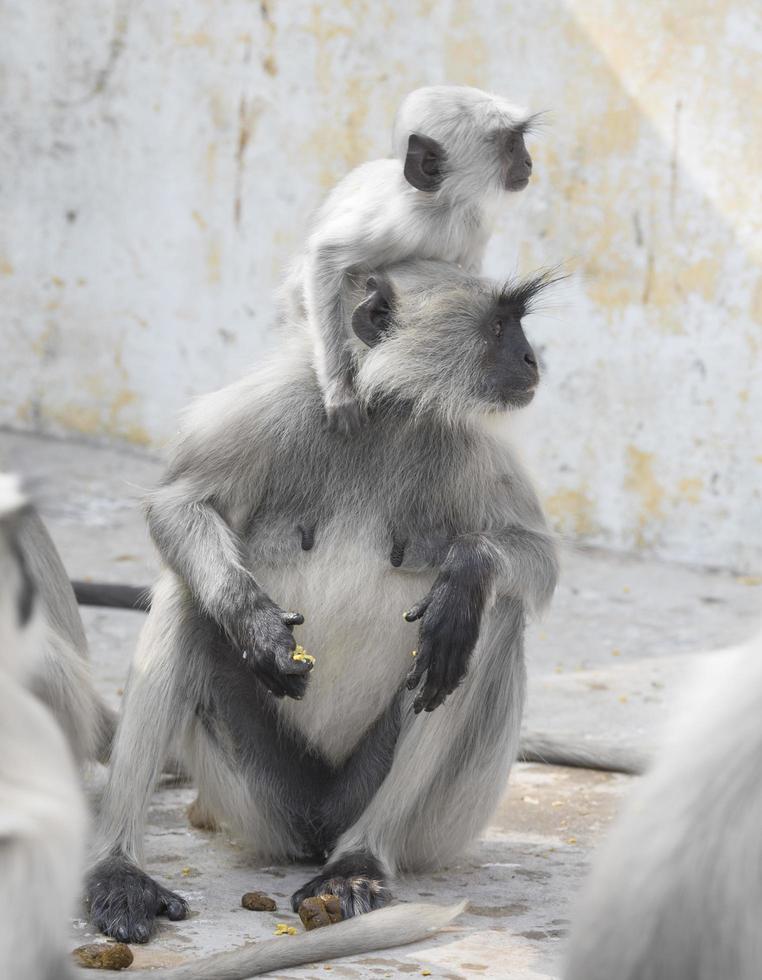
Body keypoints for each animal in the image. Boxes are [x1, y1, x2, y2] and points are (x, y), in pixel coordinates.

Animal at [83, 256, 560, 976]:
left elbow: (536, 563)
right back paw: (120, 870)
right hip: (257, 799)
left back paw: (358, 860)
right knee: (184, 591)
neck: (385, 412)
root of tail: (317, 825)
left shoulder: (473, 443)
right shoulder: (279, 403)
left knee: (491, 617)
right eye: (501, 327)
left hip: (435, 821)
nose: (533, 359)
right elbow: (178, 505)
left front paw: (467, 570)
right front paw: (253, 623)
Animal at [282, 82, 536, 434]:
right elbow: (325, 257)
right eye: (512, 146)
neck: (444, 208)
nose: (528, 162)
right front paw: (340, 394)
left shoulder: (476, 225)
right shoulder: (404, 221)